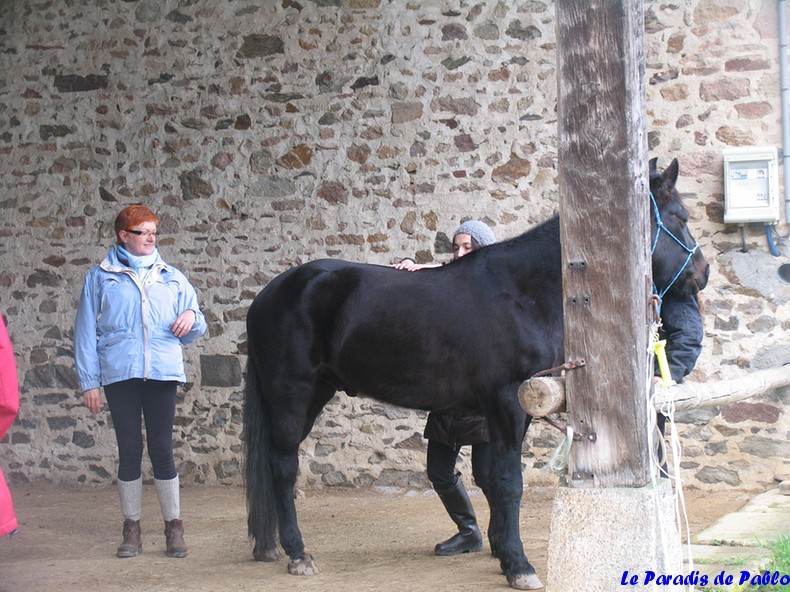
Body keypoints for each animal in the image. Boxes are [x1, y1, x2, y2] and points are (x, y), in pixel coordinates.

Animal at [241, 158, 712, 592]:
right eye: (681, 218)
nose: (702, 273)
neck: (524, 292)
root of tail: (267, 295)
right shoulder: (506, 403)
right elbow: (508, 482)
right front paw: (519, 565)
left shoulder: (518, 405)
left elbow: (495, 480)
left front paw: (504, 553)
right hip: (292, 393)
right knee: (283, 465)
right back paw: (298, 553)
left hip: (316, 392)